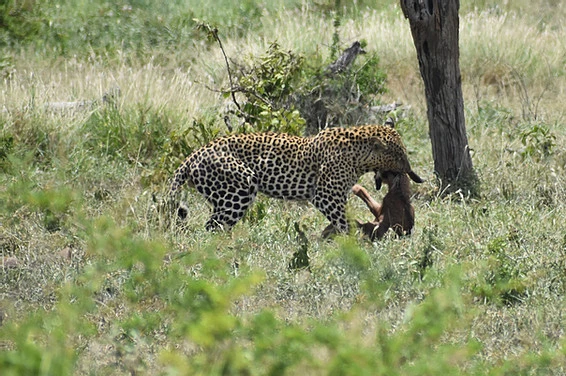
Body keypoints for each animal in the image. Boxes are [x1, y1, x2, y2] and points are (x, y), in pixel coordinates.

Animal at [171, 125, 424, 234]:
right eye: (399, 154)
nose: (410, 170)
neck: (358, 155)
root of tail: (193, 154)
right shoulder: (325, 196)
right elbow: (344, 221)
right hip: (240, 189)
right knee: (212, 227)